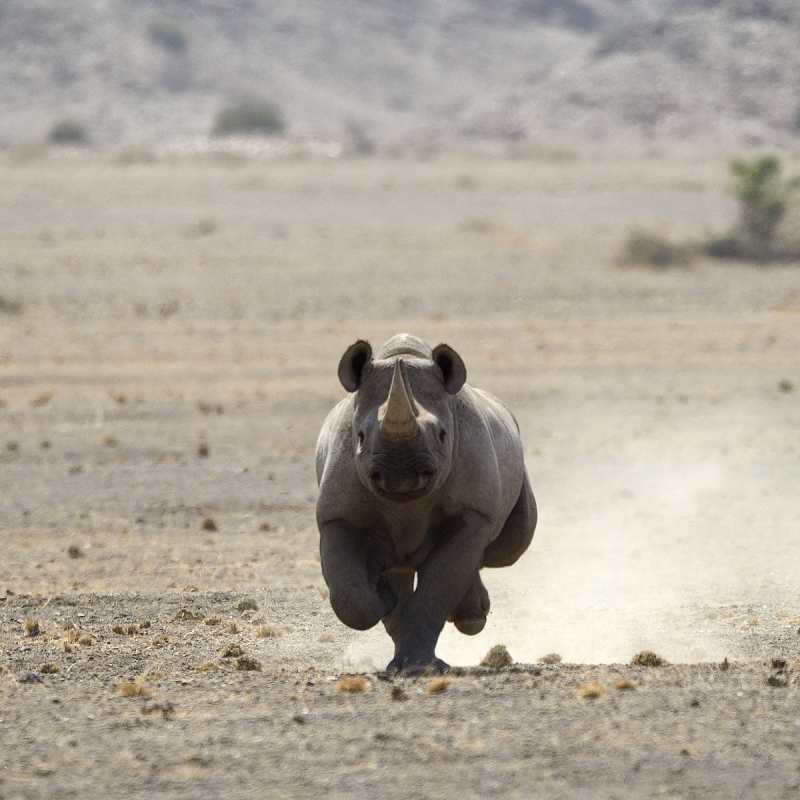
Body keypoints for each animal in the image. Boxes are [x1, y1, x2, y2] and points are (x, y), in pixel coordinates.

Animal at [315, 333, 536, 673]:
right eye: (361, 437)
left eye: (443, 435)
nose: (400, 475)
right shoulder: (336, 516)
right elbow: (350, 599)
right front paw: (382, 596)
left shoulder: (473, 512)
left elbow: (440, 585)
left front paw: (418, 668)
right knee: (400, 567)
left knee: (506, 548)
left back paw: (471, 616)